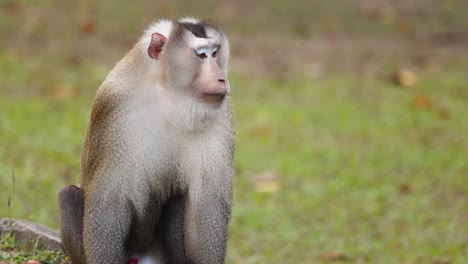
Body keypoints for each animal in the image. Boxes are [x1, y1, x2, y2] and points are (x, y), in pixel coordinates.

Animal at [57, 17, 234, 264]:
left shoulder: (219, 115)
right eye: (201, 55)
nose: (221, 78)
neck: (170, 96)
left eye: (215, 53)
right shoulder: (117, 109)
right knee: (68, 196)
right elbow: (108, 204)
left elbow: (207, 206)